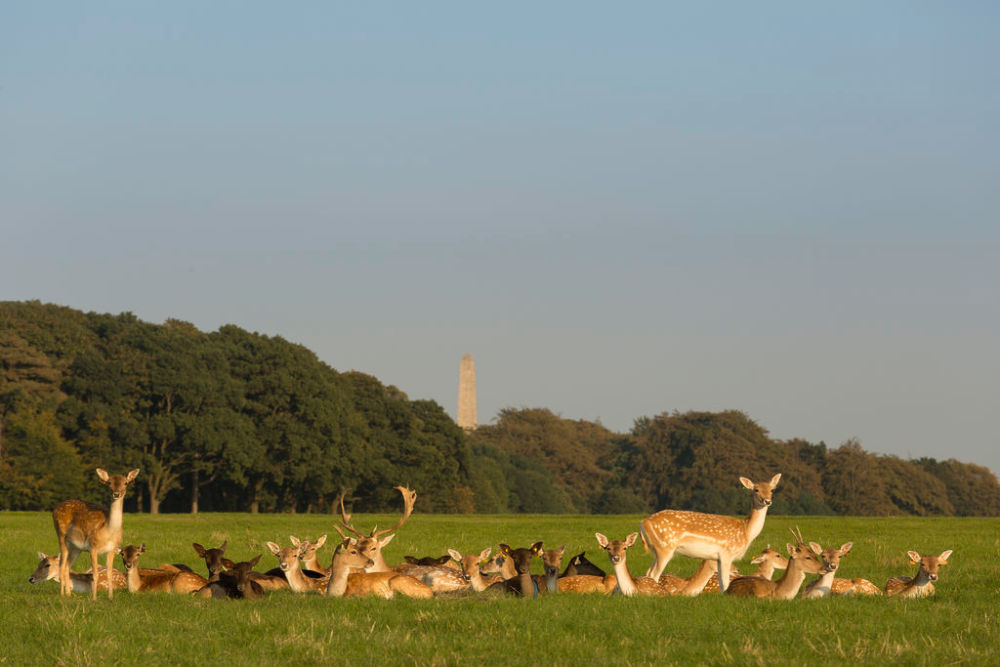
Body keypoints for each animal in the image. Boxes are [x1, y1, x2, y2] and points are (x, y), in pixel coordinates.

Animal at [51, 470, 139, 600]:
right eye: (109, 482)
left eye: (126, 483)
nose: (116, 494)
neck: (108, 532)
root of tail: (54, 509)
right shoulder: (93, 546)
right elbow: (95, 575)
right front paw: (94, 598)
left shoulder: (112, 549)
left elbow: (109, 573)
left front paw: (110, 597)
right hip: (61, 536)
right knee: (61, 566)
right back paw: (62, 594)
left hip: (76, 547)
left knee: (67, 566)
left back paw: (68, 594)